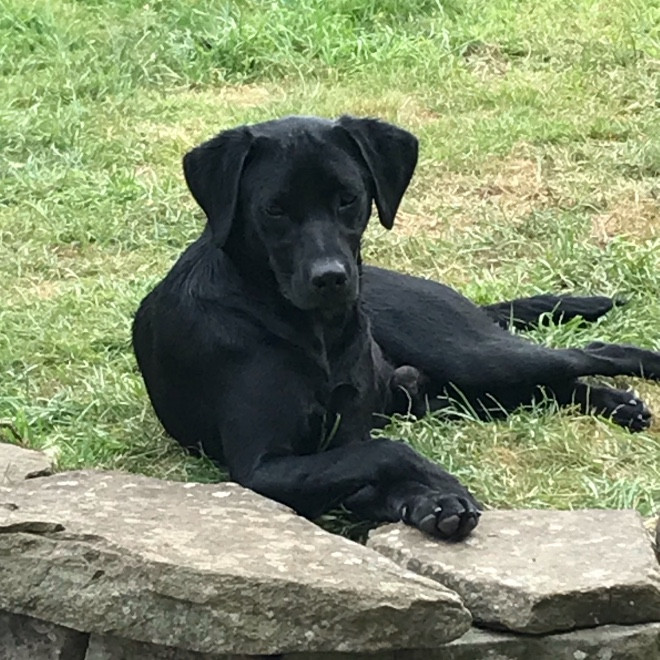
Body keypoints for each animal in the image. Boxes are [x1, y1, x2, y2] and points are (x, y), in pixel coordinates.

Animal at [132, 115, 660, 541]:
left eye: (348, 199)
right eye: (274, 209)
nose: (331, 278)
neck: (308, 330)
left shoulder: (337, 440)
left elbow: (376, 454)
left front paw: (435, 495)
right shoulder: (262, 468)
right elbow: (385, 454)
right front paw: (438, 496)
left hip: (468, 354)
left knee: (587, 353)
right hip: (457, 393)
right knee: (551, 383)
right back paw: (617, 403)